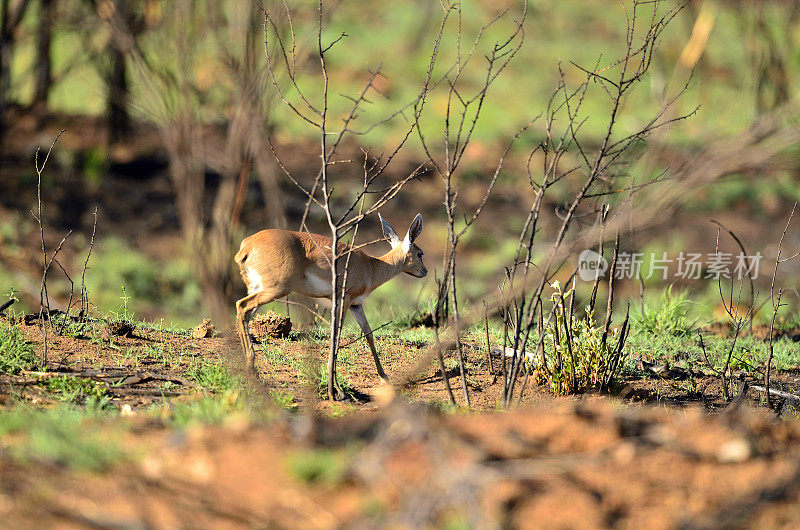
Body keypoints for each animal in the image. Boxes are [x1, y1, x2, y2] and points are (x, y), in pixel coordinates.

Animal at [236, 212, 428, 394]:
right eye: (420, 254)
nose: (424, 272)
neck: (371, 268)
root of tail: (246, 246)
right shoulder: (344, 300)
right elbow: (336, 334)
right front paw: (335, 384)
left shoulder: (356, 305)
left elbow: (368, 335)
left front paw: (384, 378)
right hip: (276, 289)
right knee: (241, 306)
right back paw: (251, 368)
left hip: (258, 289)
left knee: (244, 313)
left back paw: (250, 368)